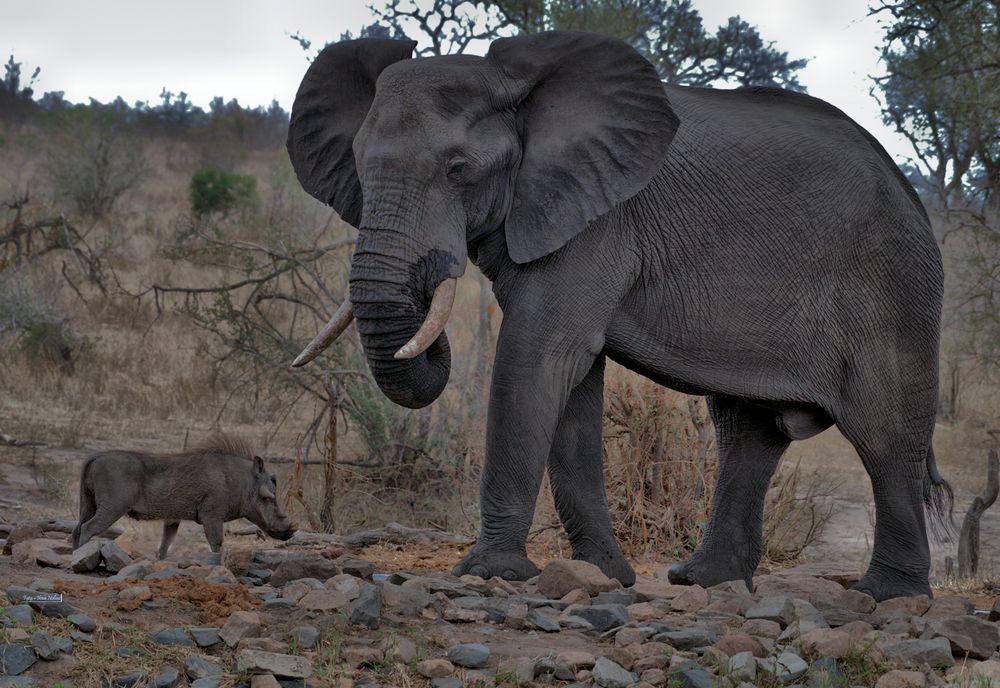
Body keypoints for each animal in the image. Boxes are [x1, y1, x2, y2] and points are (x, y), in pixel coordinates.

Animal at [286, 33, 948, 600]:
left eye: (458, 170)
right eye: (358, 165)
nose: (428, 300)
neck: (519, 90)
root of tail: (910, 191)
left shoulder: (599, 222)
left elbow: (539, 353)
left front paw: (490, 572)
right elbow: (572, 380)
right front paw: (602, 575)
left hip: (894, 285)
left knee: (885, 433)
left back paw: (888, 595)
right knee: (747, 429)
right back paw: (703, 580)